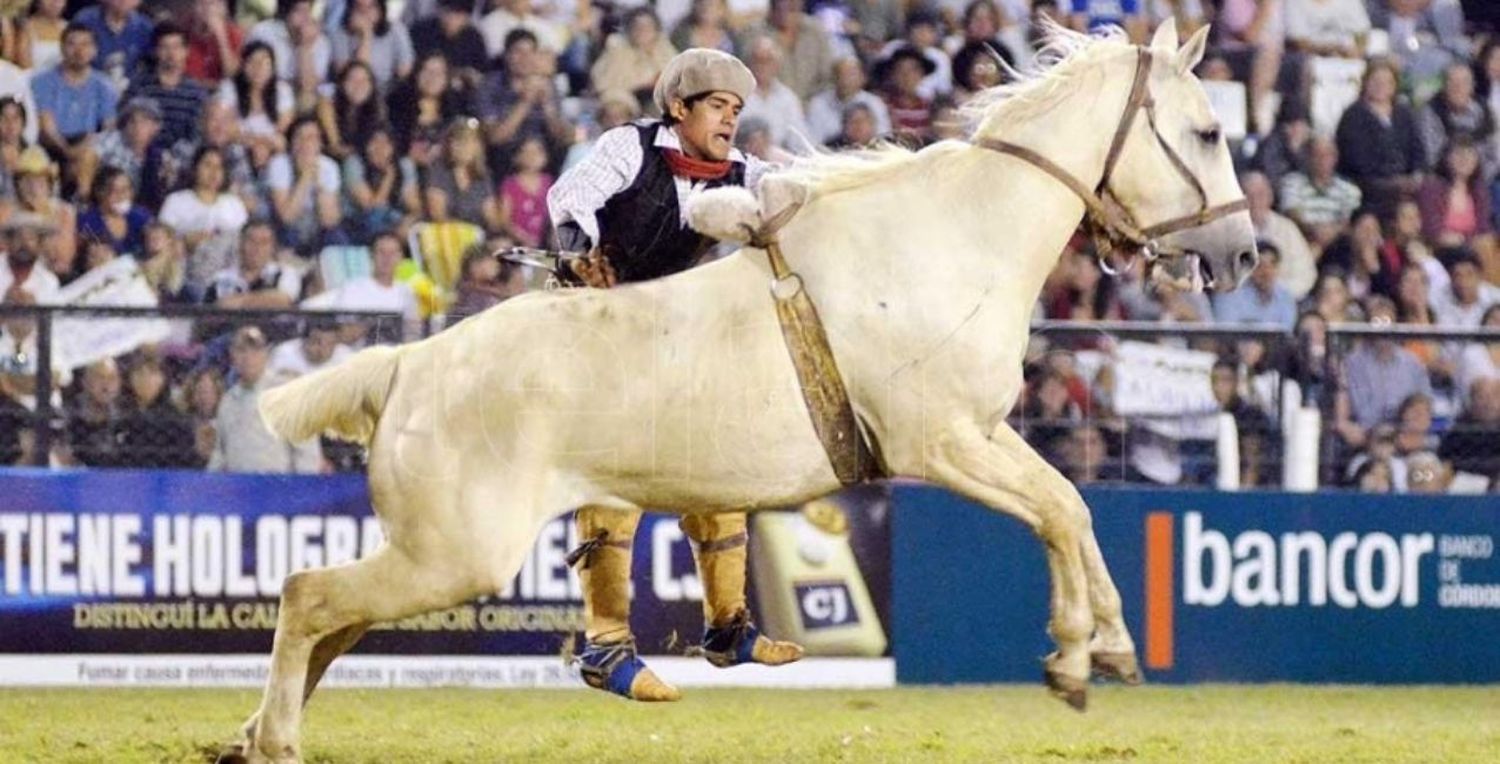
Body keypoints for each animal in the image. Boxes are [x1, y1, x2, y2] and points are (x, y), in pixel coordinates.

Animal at [222, 20, 1254, 759]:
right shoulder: (941, 444)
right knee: (309, 595)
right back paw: (276, 740)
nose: (1243, 253)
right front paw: (1079, 653)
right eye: (1207, 131)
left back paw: (254, 733)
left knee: (334, 619)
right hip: (456, 554)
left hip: (438, 549)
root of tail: (410, 364)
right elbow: (1056, 511)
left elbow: (1070, 507)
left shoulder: (985, 433)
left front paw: (1102, 650)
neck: (952, 238)